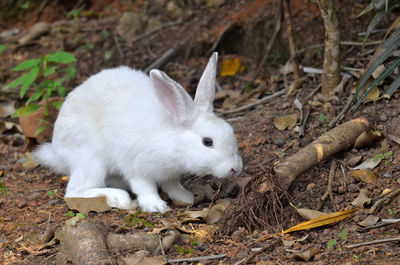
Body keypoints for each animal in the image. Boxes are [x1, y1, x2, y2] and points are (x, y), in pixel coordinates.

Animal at [35, 52, 241, 212]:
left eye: (231, 131)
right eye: (207, 142)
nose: (235, 168)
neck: (173, 139)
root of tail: (57, 149)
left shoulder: (170, 174)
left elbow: (173, 185)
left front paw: (185, 197)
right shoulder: (136, 166)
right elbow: (145, 188)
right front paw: (156, 206)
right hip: (90, 161)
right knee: (74, 192)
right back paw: (118, 197)